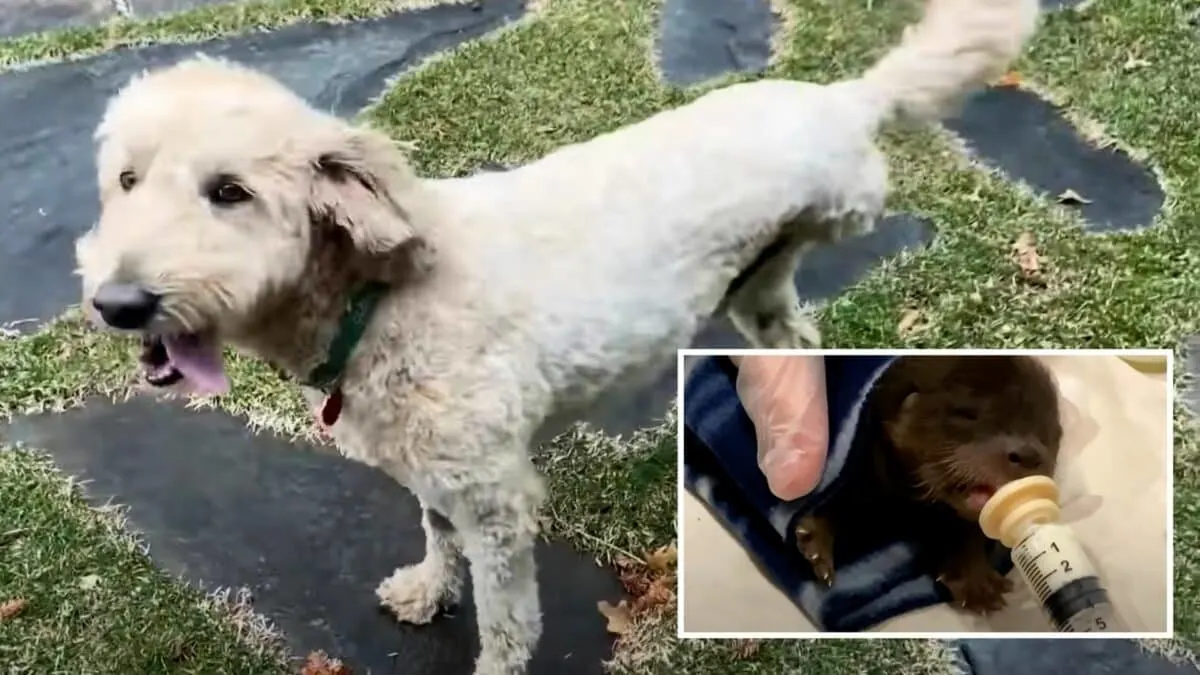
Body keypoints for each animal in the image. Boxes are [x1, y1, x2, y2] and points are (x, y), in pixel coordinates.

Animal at [796, 355, 1060, 612]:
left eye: (1046, 431)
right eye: (966, 413)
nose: (1028, 455)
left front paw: (975, 579)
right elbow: (852, 497)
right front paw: (816, 540)